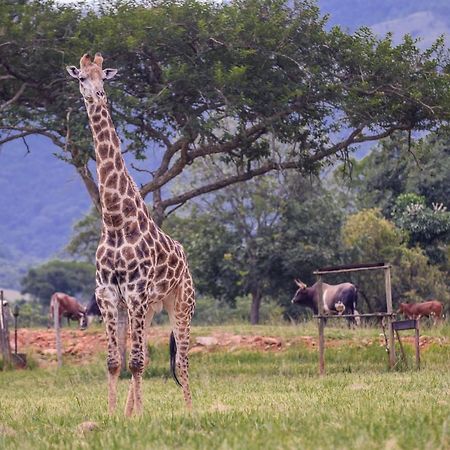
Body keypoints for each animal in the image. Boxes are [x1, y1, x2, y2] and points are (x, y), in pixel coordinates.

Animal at [66, 54, 195, 416]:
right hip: (150, 307)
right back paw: (130, 411)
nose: (97, 95)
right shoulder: (108, 293)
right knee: (148, 353)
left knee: (182, 360)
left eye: (104, 78)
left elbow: (135, 362)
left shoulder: (135, 292)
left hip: (181, 301)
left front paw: (139, 416)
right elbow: (115, 361)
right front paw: (115, 416)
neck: (115, 220)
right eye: (81, 77)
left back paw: (191, 410)